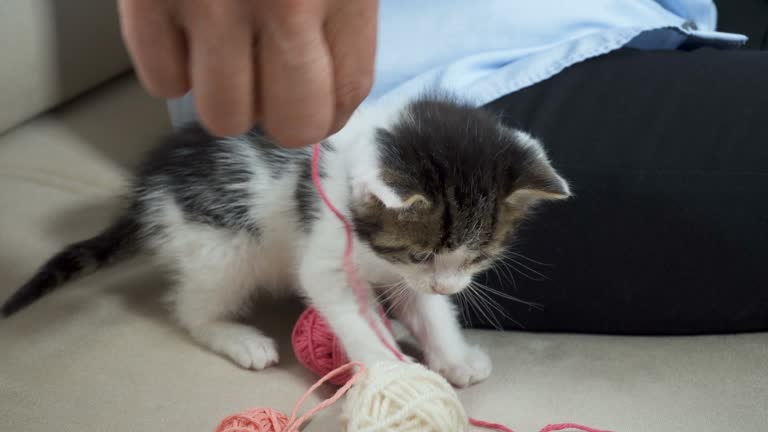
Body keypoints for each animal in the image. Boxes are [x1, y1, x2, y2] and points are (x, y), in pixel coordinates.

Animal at [3, 94, 568, 388]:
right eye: (421, 252)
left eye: (479, 257)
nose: (451, 286)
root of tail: (150, 187)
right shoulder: (329, 253)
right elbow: (345, 308)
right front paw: (386, 367)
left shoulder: (409, 276)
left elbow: (427, 310)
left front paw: (453, 356)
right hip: (223, 246)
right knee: (190, 307)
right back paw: (236, 337)